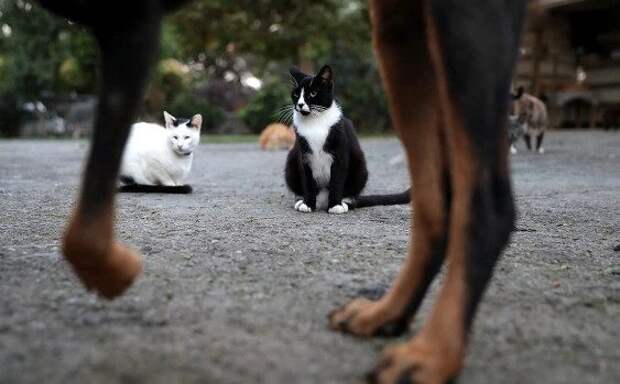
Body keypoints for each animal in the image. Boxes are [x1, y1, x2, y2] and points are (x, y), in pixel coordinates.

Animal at [286, 63, 412, 213]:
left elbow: (337, 179)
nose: (299, 104)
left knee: (353, 196)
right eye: (296, 94)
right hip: (291, 160)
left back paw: (345, 202)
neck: (315, 122)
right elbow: (307, 181)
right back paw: (301, 200)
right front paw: (308, 204)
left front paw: (335, 206)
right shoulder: (304, 155)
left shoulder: (340, 150)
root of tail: (322, 200)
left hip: (360, 167)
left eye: (313, 93)